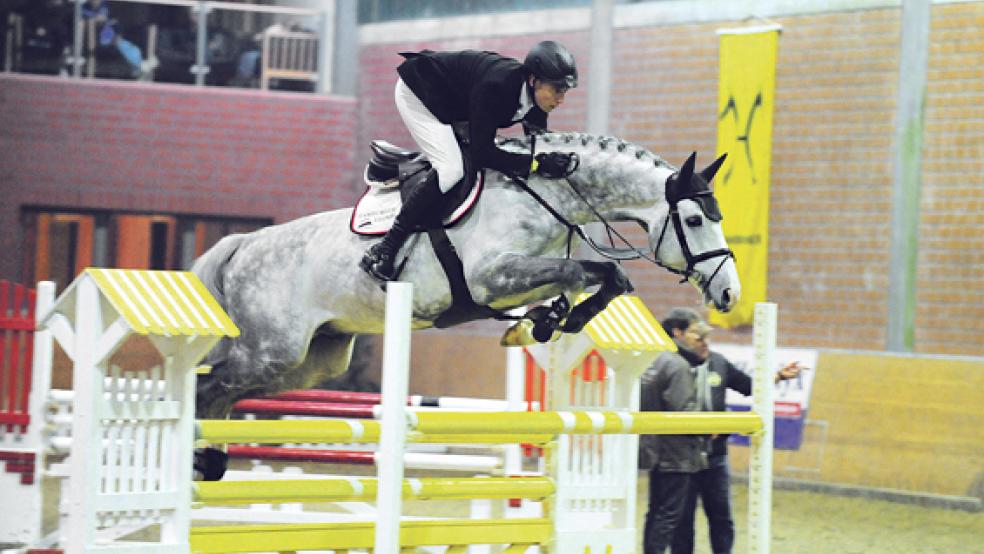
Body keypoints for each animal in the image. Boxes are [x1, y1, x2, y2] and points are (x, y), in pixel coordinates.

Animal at [192, 133, 736, 418]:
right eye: (694, 220)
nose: (730, 293)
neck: (546, 198)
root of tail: (242, 244)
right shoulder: (492, 279)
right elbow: (575, 271)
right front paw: (545, 321)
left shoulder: (519, 278)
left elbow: (605, 276)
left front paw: (556, 320)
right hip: (271, 351)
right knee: (209, 387)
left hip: (313, 361)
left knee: (224, 393)